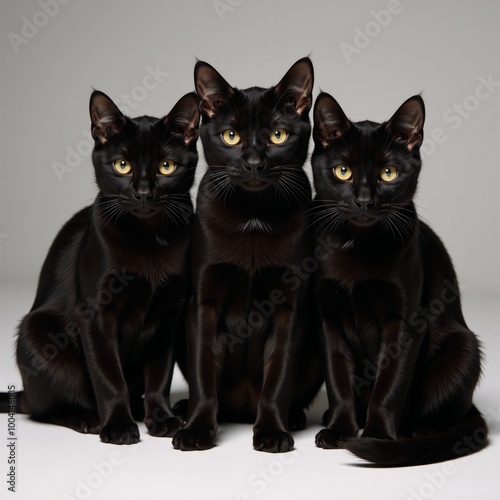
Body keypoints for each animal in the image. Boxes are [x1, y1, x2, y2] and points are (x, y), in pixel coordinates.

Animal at [8, 89, 199, 442]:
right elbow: (108, 376)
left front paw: (161, 418)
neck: (148, 239)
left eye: (166, 166)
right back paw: (89, 418)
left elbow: (159, 375)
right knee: (45, 408)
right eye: (122, 165)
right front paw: (119, 426)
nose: (143, 193)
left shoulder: (170, 313)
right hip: (38, 333)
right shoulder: (95, 313)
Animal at [171, 58, 320, 454]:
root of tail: (240, 408)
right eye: (231, 136)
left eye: (278, 136)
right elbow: (203, 373)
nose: (253, 162)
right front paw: (196, 430)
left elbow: (278, 378)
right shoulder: (203, 303)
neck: (253, 216)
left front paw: (272, 431)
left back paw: (294, 418)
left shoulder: (290, 308)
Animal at [310, 92, 486, 466]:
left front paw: (377, 437)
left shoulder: (405, 322)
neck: (358, 245)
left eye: (388, 174)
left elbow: (390, 384)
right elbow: (338, 379)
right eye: (342, 171)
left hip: (462, 347)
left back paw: (412, 431)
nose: (364, 200)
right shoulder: (327, 318)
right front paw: (339, 429)